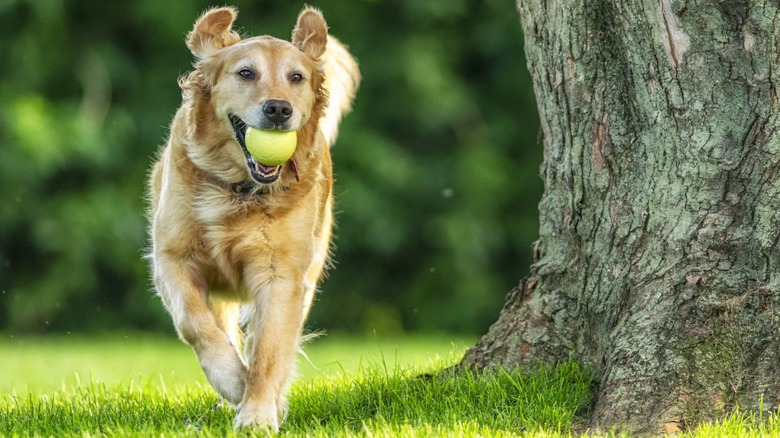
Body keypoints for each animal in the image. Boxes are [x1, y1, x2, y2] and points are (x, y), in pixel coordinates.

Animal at [146, 6, 360, 432]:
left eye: (296, 77)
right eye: (246, 73)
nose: (278, 109)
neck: (237, 189)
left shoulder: (283, 276)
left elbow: (270, 350)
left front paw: (259, 412)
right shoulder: (172, 259)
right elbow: (195, 324)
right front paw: (232, 380)